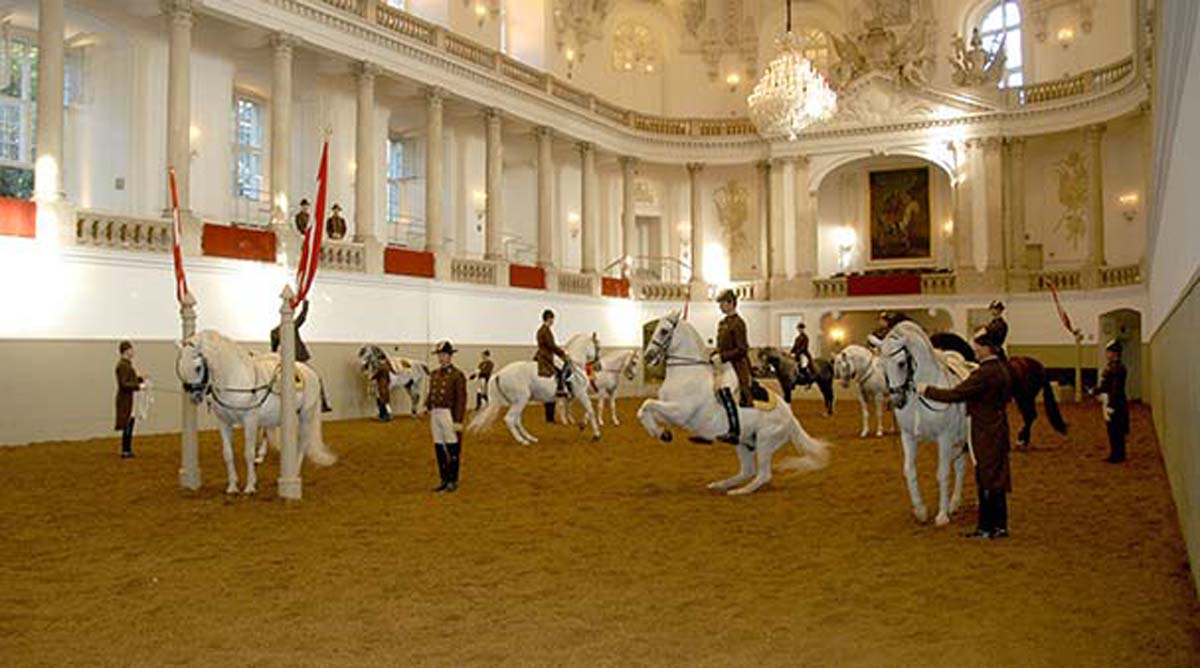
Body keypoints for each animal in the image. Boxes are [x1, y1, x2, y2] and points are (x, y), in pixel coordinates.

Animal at [174, 328, 336, 494]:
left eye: (198, 367)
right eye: (180, 366)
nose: (194, 396)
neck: (235, 379)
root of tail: (310, 372)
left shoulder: (250, 420)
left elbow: (249, 453)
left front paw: (250, 486)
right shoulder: (224, 422)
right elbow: (228, 454)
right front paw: (232, 486)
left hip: (306, 415)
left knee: (302, 443)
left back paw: (294, 473)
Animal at [465, 331, 600, 446]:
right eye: (598, 347)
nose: (598, 365)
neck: (575, 366)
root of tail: (499, 374)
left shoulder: (576, 395)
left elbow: (587, 410)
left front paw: (582, 424)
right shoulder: (581, 393)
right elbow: (590, 410)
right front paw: (596, 434)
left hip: (517, 401)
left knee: (517, 420)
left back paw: (530, 438)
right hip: (521, 400)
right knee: (510, 419)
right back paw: (522, 441)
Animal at [638, 309, 825, 491]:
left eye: (663, 331)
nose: (648, 356)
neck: (688, 373)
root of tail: (790, 416)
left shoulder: (680, 412)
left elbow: (647, 404)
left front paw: (660, 433)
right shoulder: (669, 410)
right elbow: (644, 410)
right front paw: (662, 433)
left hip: (765, 442)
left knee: (763, 475)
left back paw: (738, 491)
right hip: (745, 442)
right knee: (747, 471)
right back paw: (719, 485)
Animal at [883, 321, 974, 525]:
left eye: (901, 363)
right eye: (881, 365)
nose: (896, 401)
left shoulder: (944, 438)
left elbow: (942, 473)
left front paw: (941, 516)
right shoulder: (908, 437)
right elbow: (909, 471)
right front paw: (920, 511)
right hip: (959, 442)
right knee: (960, 466)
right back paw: (954, 504)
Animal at [926, 328, 1070, 448]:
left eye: (932, 341)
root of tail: (1040, 367)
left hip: (1024, 397)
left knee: (1030, 416)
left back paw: (1021, 440)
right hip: (1024, 397)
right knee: (1030, 416)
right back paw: (1024, 441)